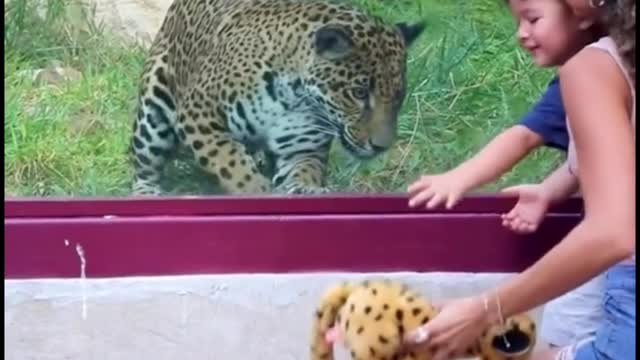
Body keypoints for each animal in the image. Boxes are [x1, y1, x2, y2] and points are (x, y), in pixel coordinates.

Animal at [129, 0, 424, 195]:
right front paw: (257, 190)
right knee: (142, 167)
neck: (294, 95)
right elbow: (230, 163)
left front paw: (304, 190)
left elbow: (304, 171)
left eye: (399, 96)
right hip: (153, 111)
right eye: (359, 93)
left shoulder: (301, 146)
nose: (381, 147)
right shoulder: (199, 114)